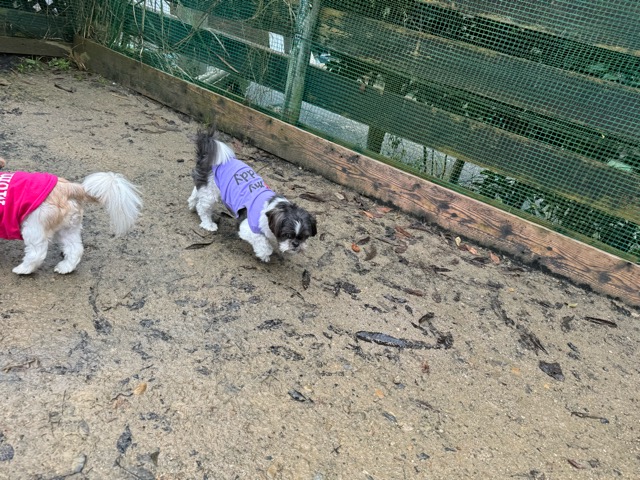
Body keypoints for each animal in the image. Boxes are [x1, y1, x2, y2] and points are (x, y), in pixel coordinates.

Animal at [0, 157, 142, 274]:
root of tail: (70, 188)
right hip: (68, 228)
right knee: (75, 248)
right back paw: (65, 267)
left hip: (34, 226)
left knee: (37, 252)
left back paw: (24, 269)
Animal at [187, 127, 316, 262]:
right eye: (287, 234)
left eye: (304, 236)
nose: (296, 244)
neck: (271, 209)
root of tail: (207, 155)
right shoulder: (246, 227)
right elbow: (262, 241)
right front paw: (265, 253)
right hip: (211, 193)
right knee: (203, 207)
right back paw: (208, 223)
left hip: (207, 186)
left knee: (196, 192)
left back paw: (191, 205)